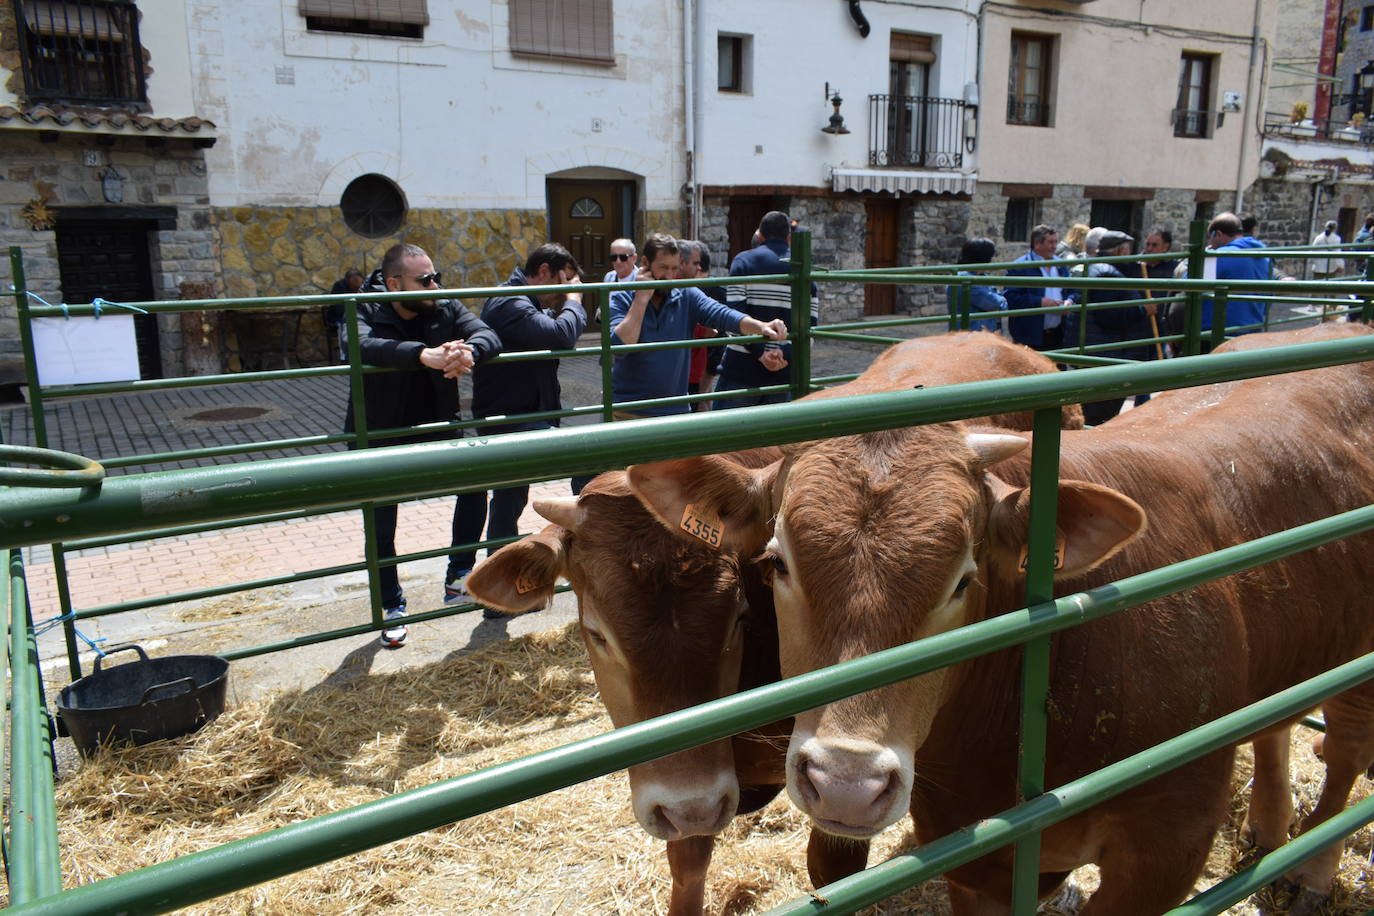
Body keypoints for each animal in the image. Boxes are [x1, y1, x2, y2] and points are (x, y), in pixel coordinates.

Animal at [629, 324, 1374, 916]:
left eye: (965, 577)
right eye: (778, 562)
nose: (847, 784)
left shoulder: (1167, 845)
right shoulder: (972, 851)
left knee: (1345, 754)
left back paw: (1311, 873)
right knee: (1277, 727)